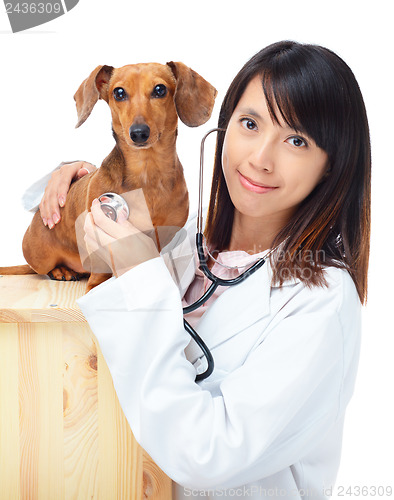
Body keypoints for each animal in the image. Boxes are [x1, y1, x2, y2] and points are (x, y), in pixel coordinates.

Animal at [0, 63, 215, 292]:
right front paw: (96, 286)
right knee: (44, 268)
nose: (139, 133)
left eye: (160, 89)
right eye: (119, 93)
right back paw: (61, 271)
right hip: (41, 257)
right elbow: (100, 269)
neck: (147, 173)